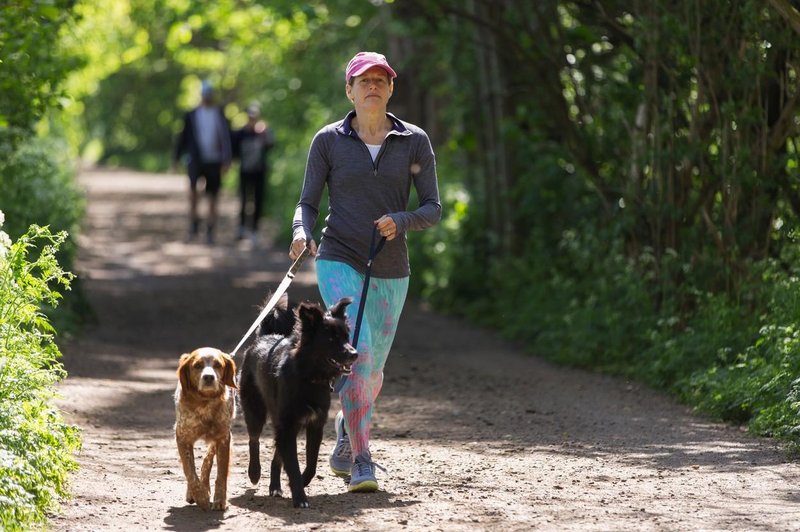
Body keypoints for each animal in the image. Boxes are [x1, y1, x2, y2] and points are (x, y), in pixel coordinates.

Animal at [173, 348, 236, 510]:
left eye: (218, 365)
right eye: (197, 366)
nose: (208, 377)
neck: (205, 402)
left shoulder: (223, 437)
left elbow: (221, 473)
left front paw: (220, 500)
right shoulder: (182, 436)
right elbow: (189, 470)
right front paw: (200, 496)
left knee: (208, 459)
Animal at [238, 296, 356, 508]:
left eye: (346, 336)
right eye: (331, 339)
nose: (355, 354)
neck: (309, 376)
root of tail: (263, 338)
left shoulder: (314, 424)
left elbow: (311, 463)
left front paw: (301, 482)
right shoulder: (288, 425)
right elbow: (292, 464)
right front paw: (300, 497)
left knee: (276, 456)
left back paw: (275, 487)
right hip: (256, 411)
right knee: (254, 440)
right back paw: (254, 472)